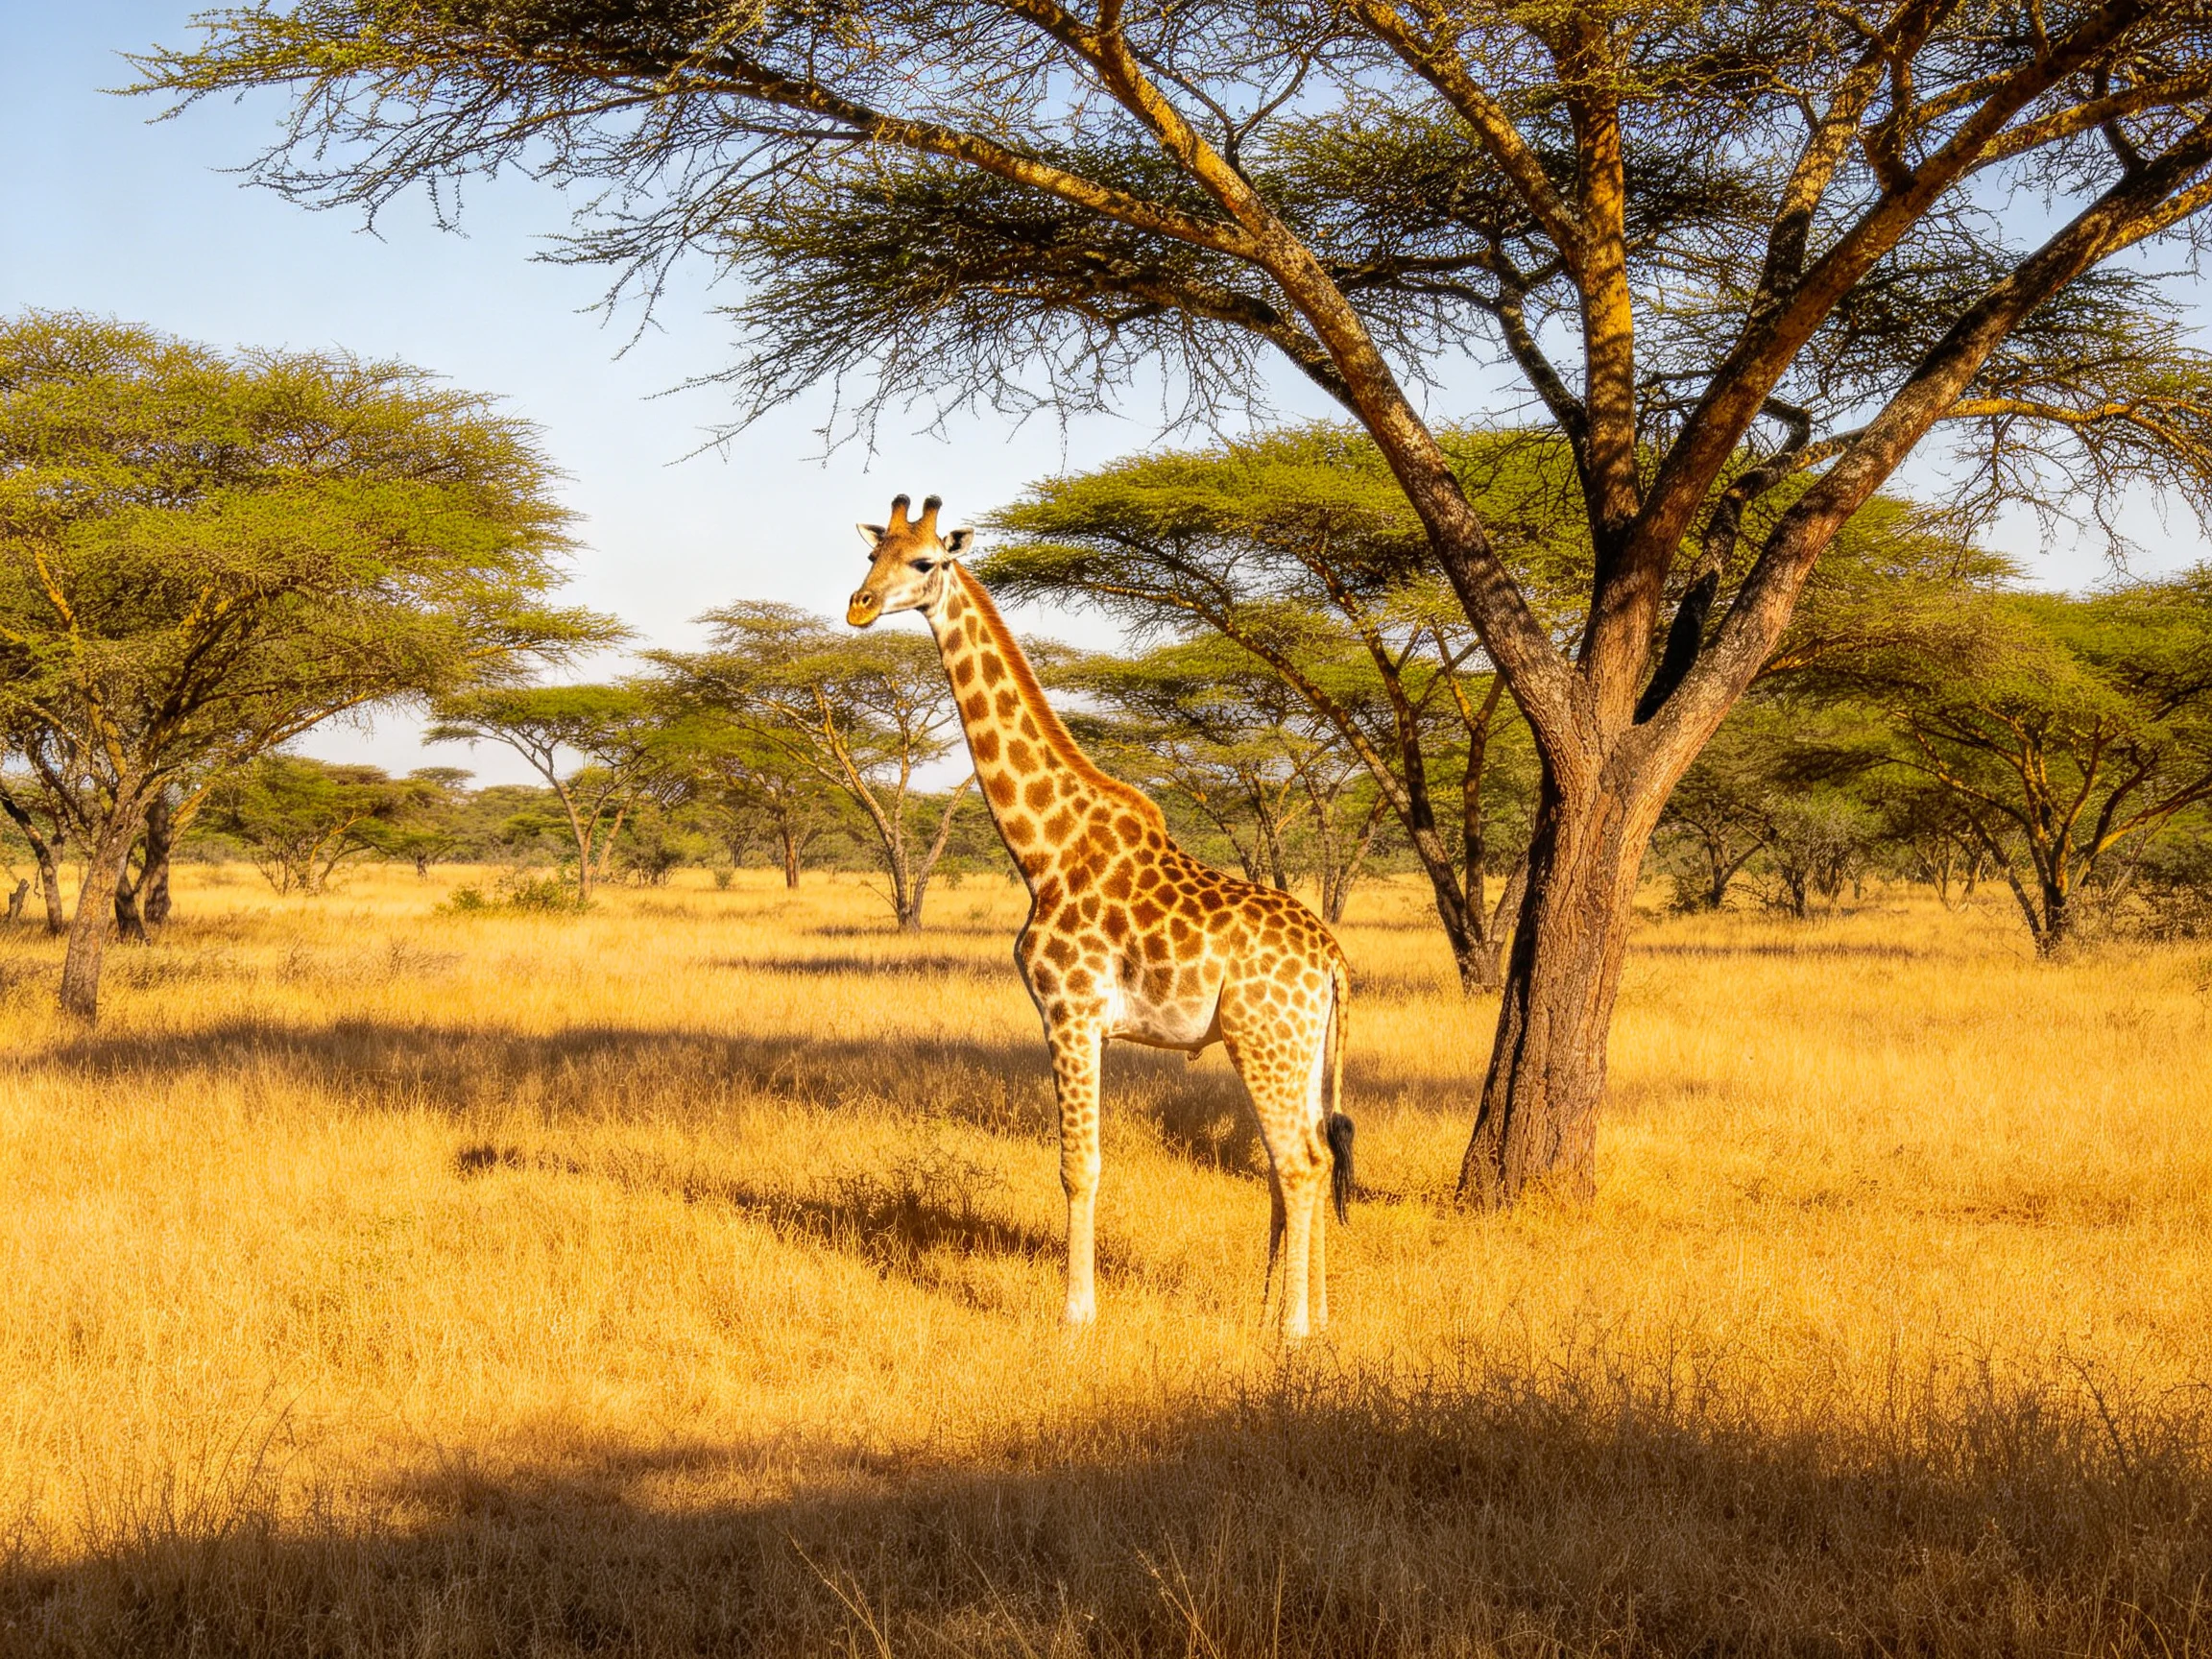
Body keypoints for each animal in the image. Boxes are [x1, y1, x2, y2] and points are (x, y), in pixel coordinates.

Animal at [847, 493, 1355, 1338]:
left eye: (924, 562)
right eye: (869, 554)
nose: (857, 606)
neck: (1046, 848)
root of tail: (1335, 960)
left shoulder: (1071, 1010)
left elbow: (1077, 1166)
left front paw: (1075, 1316)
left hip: (1264, 1038)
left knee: (1301, 1161)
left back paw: (1291, 1330)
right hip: (1296, 1044)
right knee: (1304, 1155)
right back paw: (1302, 1316)